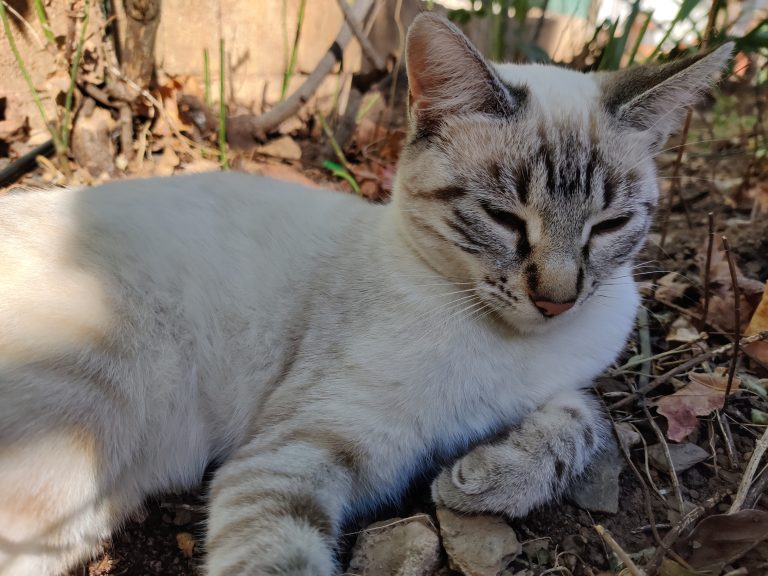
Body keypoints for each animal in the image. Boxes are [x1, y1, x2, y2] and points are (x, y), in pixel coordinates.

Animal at [0, 10, 732, 576]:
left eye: (609, 225)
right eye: (503, 219)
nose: (558, 300)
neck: (512, 343)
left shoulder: (575, 379)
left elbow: (589, 422)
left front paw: (474, 481)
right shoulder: (292, 453)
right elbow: (280, 558)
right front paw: (472, 478)